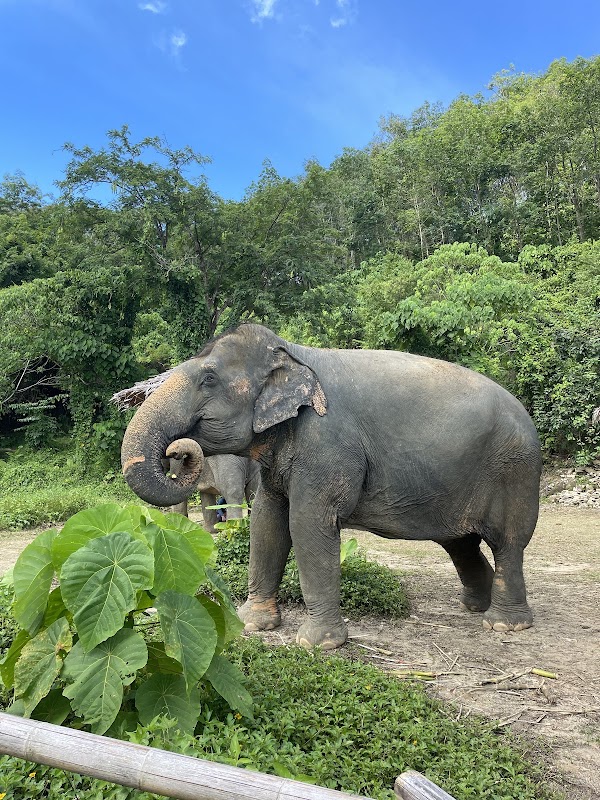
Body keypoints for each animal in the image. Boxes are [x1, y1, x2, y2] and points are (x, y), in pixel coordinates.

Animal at [121, 323, 542, 650]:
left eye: (208, 379)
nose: (178, 450)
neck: (292, 353)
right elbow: (267, 522)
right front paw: (252, 623)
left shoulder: (326, 444)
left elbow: (307, 523)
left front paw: (317, 644)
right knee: (460, 543)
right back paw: (474, 607)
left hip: (515, 471)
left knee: (508, 543)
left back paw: (503, 624)